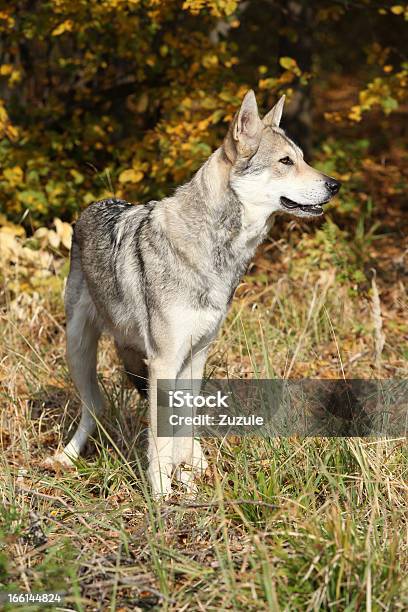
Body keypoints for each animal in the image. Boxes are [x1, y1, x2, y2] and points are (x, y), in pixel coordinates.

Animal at [48, 91, 342, 494]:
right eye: (286, 161)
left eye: (302, 158)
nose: (335, 184)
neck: (215, 253)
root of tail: (93, 206)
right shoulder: (164, 361)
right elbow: (160, 440)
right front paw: (161, 496)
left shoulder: (196, 356)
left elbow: (183, 428)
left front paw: (187, 483)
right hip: (78, 351)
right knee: (95, 407)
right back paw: (65, 458)